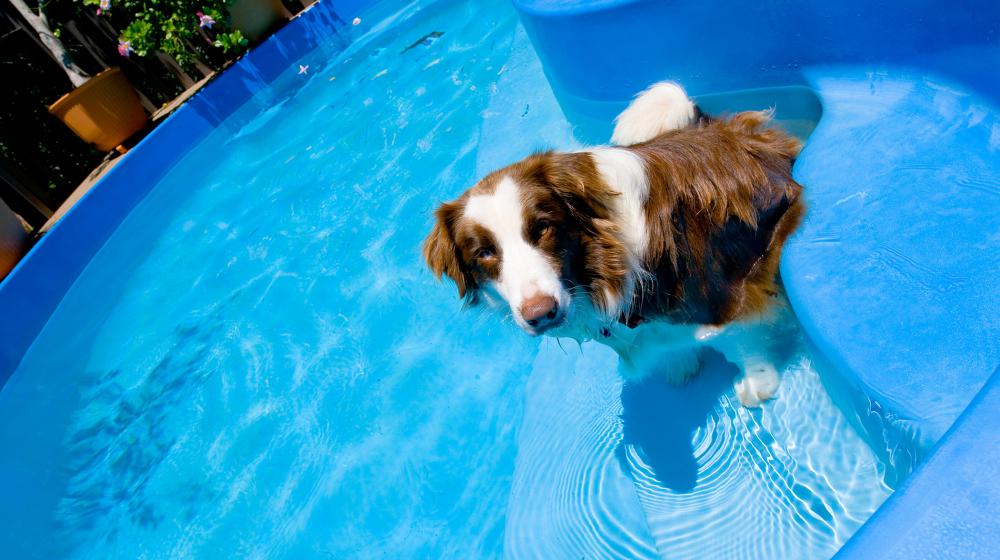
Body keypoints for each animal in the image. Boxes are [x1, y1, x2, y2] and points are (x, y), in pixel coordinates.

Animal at [422, 82, 804, 406]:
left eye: (543, 227)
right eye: (484, 253)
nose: (540, 314)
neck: (603, 263)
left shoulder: (722, 296)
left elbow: (737, 340)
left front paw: (758, 380)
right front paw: (680, 361)